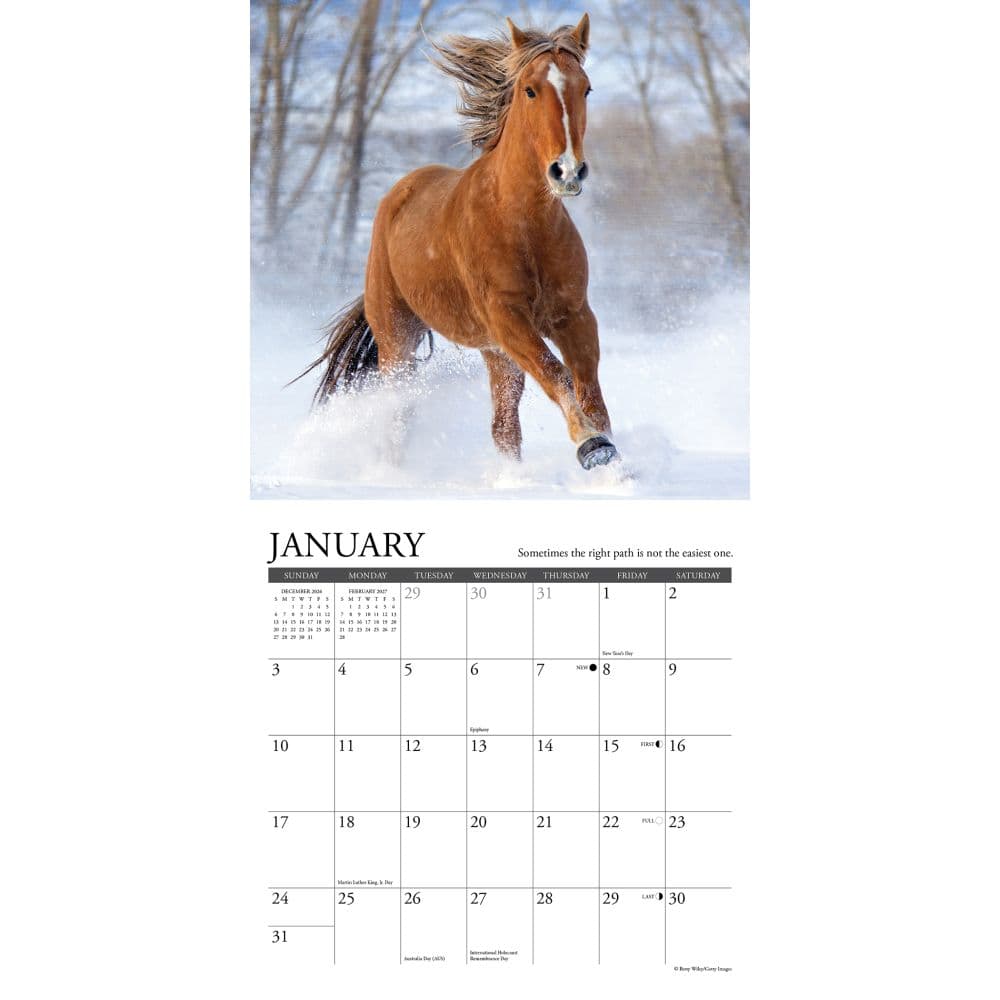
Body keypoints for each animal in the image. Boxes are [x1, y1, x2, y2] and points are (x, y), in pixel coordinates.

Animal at [296, 13, 618, 471]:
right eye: (530, 89)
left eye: (585, 87)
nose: (567, 171)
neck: (523, 224)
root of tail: (400, 193)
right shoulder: (506, 318)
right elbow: (557, 374)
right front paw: (591, 445)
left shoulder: (572, 315)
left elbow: (588, 388)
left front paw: (610, 456)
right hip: (398, 339)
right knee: (398, 414)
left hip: (494, 353)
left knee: (504, 426)